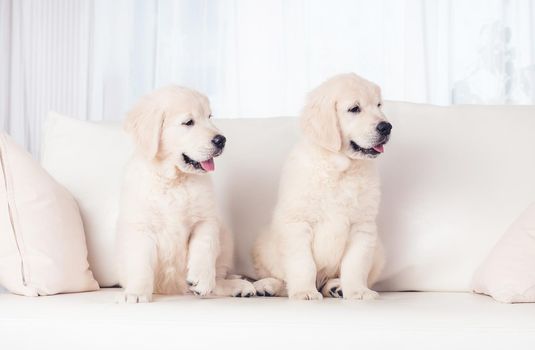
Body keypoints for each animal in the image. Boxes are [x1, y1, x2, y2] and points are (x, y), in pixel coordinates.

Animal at [114, 86, 255, 302]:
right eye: (189, 122)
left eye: (209, 116)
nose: (221, 140)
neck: (174, 180)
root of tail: (175, 290)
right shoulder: (141, 226)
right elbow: (141, 264)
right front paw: (136, 293)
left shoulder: (206, 219)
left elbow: (204, 247)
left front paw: (201, 280)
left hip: (225, 235)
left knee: (218, 279)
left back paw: (237, 286)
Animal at [253, 72, 392, 300]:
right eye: (354, 109)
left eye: (379, 105)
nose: (386, 127)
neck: (338, 168)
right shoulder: (298, 224)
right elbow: (303, 264)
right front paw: (304, 292)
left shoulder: (362, 227)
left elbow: (355, 265)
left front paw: (358, 291)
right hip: (263, 243)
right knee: (281, 278)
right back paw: (267, 285)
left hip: (378, 250)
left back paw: (336, 287)